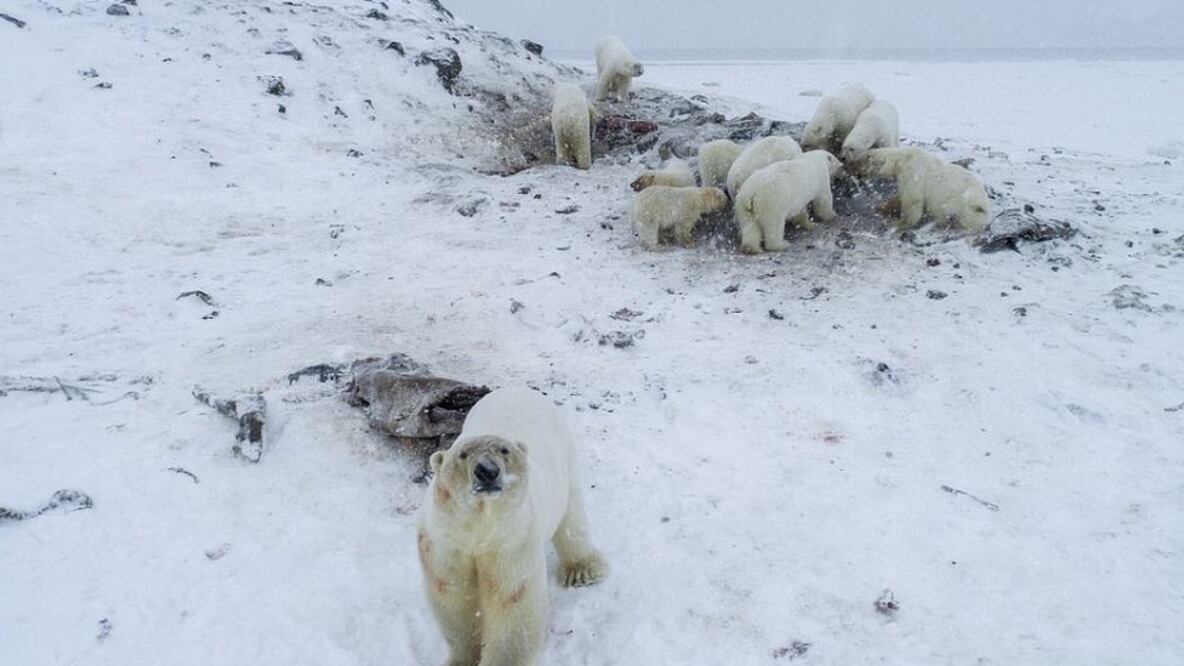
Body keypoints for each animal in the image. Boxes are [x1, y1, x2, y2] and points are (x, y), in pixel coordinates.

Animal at [418, 387, 607, 666]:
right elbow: (455, 597)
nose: (487, 471)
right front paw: (462, 659)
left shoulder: (512, 543)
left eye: (504, 451)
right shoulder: (445, 544)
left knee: (572, 514)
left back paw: (581, 571)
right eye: (462, 454)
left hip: (564, 456)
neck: (479, 529)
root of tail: (517, 389)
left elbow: (512, 602)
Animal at [852, 147, 991, 234]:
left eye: (859, 162)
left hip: (960, 205)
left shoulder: (912, 172)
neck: (902, 159)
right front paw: (881, 208)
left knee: (947, 213)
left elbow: (912, 201)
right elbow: (899, 197)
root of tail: (983, 205)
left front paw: (898, 223)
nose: (850, 165)